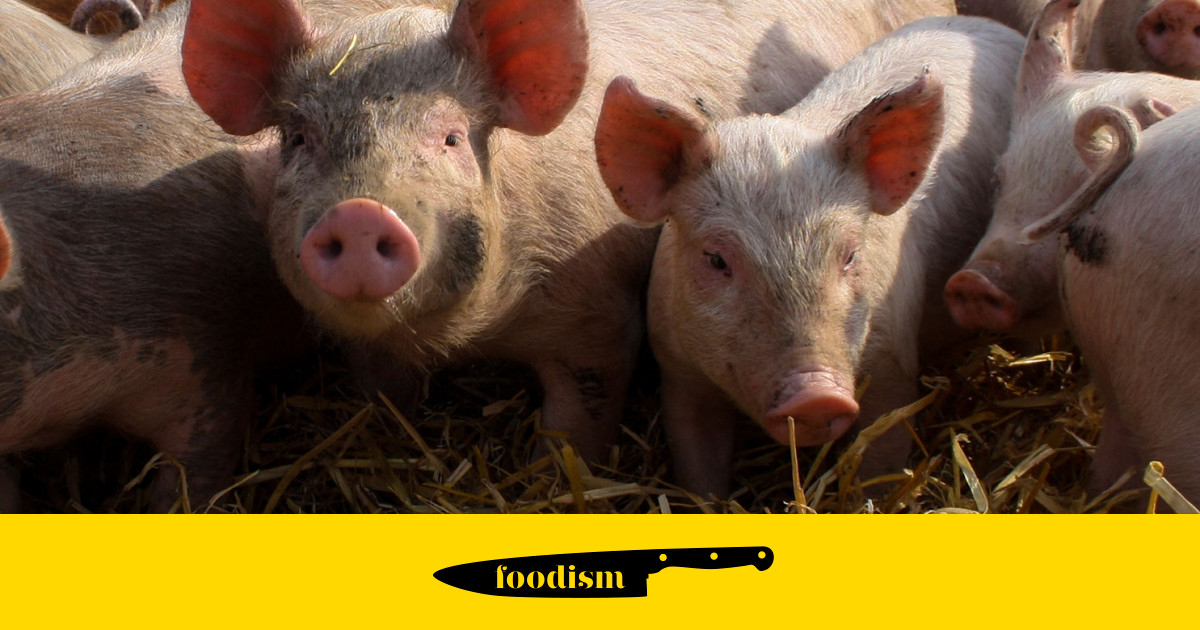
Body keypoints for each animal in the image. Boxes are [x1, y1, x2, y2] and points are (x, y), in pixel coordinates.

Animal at [178, 0, 956, 463]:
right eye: (299, 138)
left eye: (452, 137)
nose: (360, 212)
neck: (472, 336)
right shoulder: (363, 345)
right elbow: (384, 398)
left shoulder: (600, 318)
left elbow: (576, 425)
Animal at [594, 16, 1025, 498]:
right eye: (716, 260)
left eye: (850, 254)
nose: (816, 395)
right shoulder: (679, 370)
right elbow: (700, 471)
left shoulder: (893, 358)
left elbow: (881, 462)